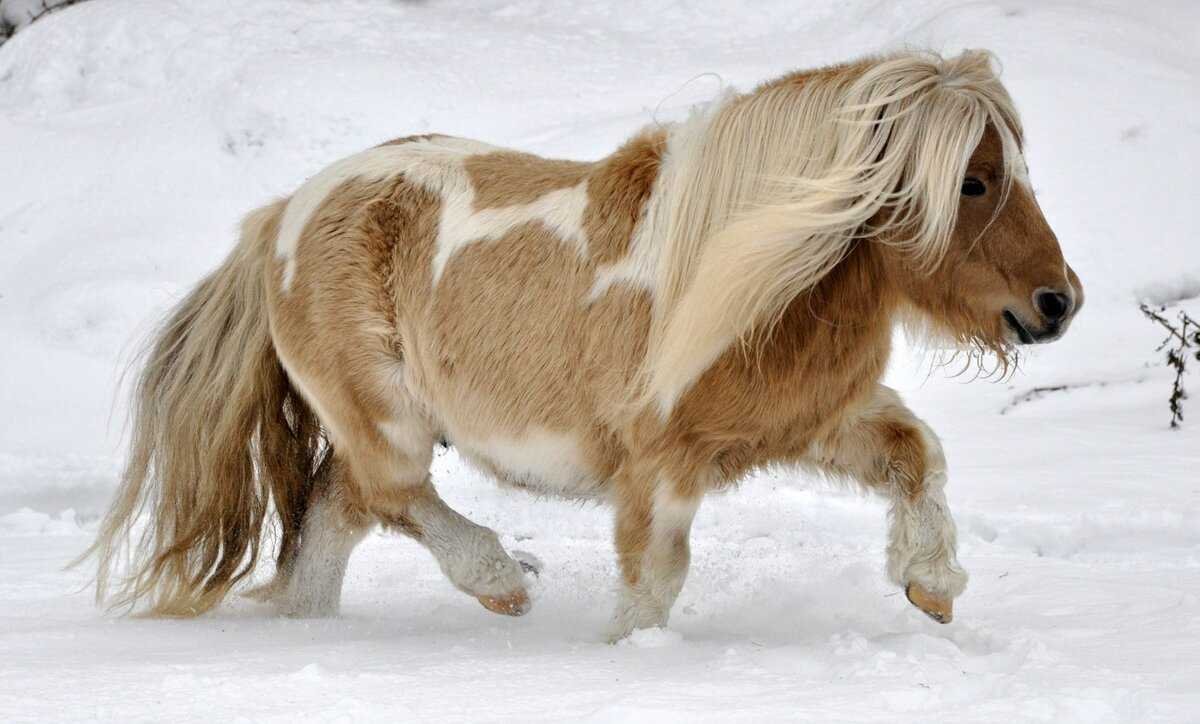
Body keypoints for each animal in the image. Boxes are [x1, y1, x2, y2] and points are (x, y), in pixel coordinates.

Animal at [84, 49, 1082, 639]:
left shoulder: (818, 423)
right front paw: (629, 659)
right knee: (391, 496)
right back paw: (501, 582)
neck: (743, 269)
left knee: (336, 517)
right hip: (388, 419)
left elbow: (919, 453)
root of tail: (283, 215)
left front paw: (933, 586)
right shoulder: (662, 465)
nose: (1058, 303)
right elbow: (655, 584)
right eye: (973, 181)